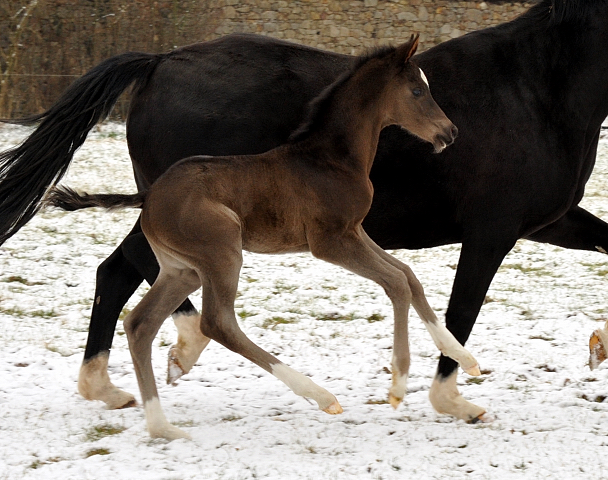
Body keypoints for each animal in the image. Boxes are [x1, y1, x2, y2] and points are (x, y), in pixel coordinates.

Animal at [46, 35, 480, 440]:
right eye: (418, 91)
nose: (450, 132)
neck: (332, 159)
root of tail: (149, 196)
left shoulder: (356, 231)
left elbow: (409, 276)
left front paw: (466, 358)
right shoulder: (330, 241)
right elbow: (396, 283)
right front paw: (398, 385)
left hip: (181, 269)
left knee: (140, 324)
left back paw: (162, 426)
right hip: (223, 253)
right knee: (217, 323)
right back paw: (320, 395)